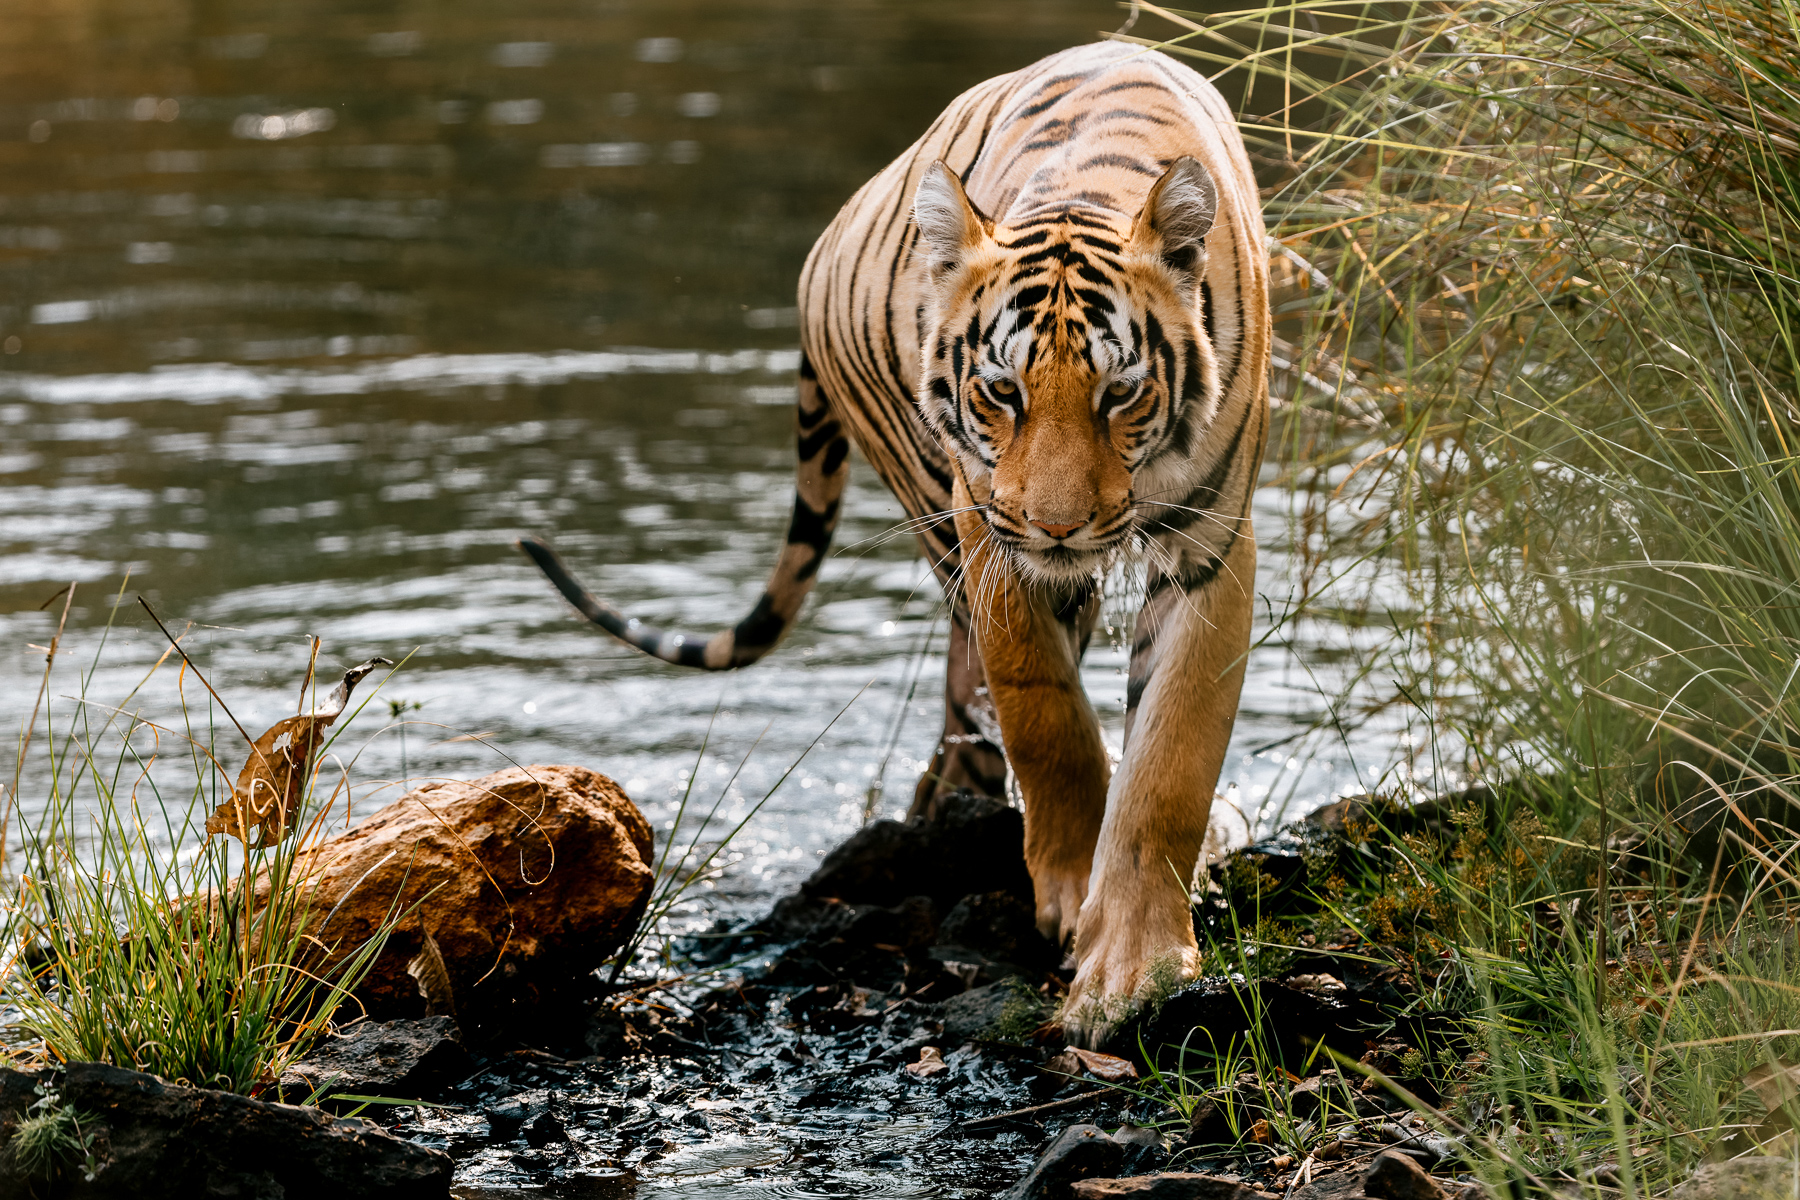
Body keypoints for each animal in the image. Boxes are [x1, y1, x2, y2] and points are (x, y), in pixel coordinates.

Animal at [521, 40, 1270, 1045]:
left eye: (1120, 393)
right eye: (1002, 392)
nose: (1058, 526)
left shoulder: (1209, 549)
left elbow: (1169, 763)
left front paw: (1129, 965)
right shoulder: (990, 532)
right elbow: (1048, 721)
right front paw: (1072, 892)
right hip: (938, 506)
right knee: (985, 708)